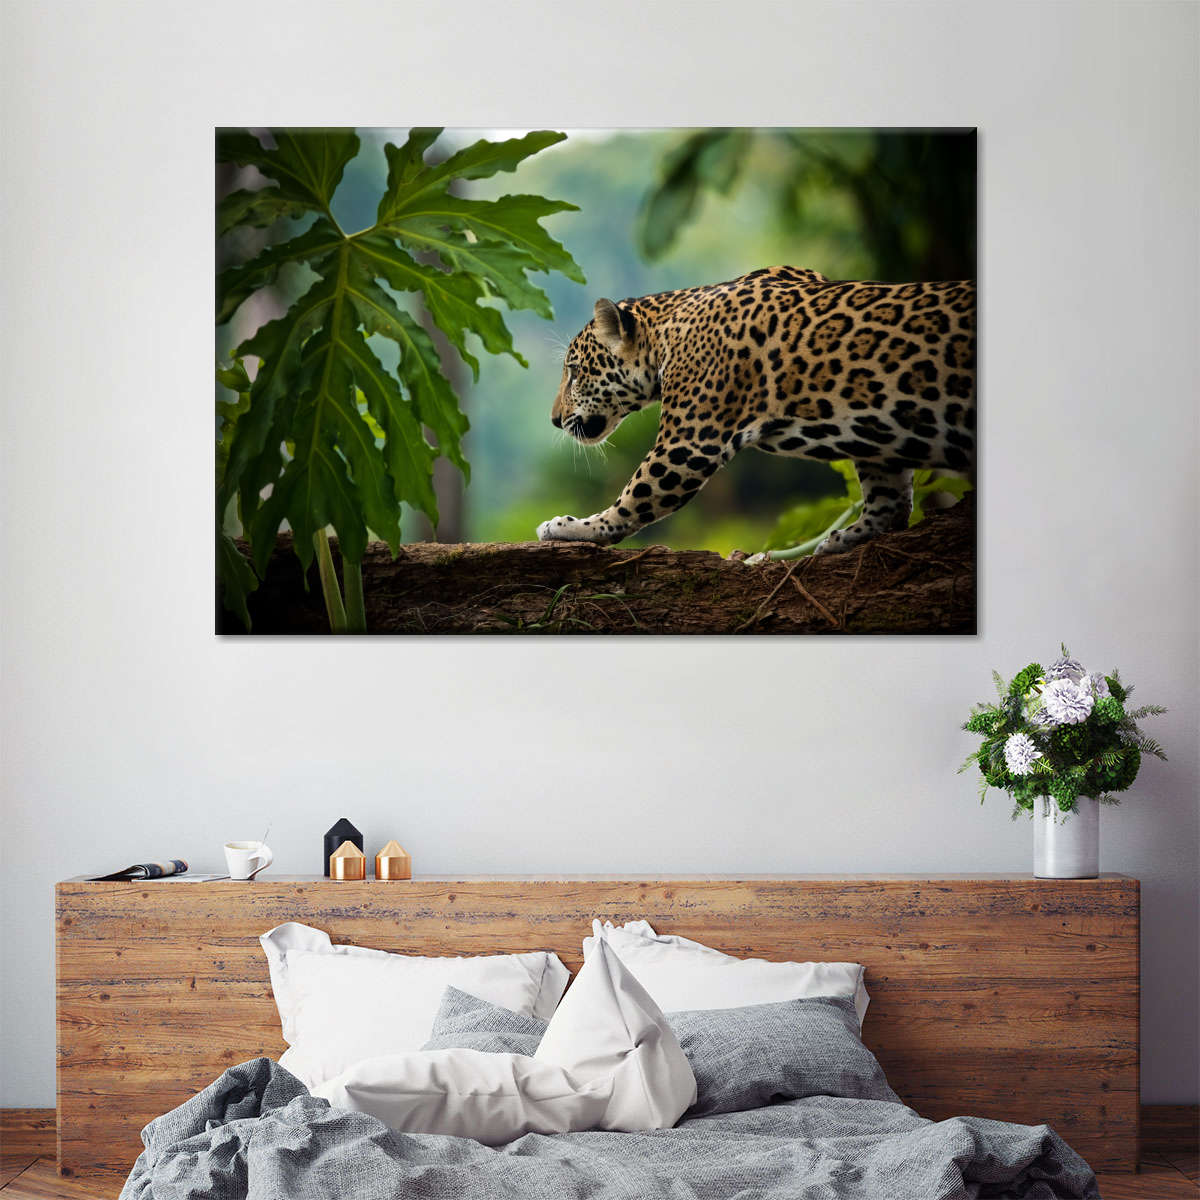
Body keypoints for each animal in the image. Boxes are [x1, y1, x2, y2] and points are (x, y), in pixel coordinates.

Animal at [536, 266, 975, 556]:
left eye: (574, 371)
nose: (554, 420)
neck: (665, 334)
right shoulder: (876, 441)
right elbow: (890, 497)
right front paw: (850, 536)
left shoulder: (688, 444)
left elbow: (635, 498)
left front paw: (573, 527)